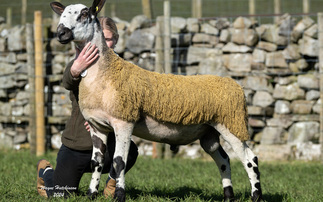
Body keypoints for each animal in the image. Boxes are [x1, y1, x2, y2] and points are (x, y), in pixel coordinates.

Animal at [50, 0, 264, 202]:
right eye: (62, 14)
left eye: (85, 13)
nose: (61, 33)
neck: (105, 73)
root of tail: (235, 85)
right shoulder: (97, 126)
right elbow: (97, 163)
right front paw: (91, 194)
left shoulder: (124, 121)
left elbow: (119, 162)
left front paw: (119, 195)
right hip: (209, 133)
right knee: (224, 160)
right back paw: (228, 196)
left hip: (232, 124)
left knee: (250, 159)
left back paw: (256, 196)